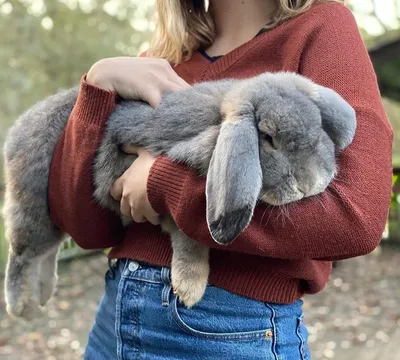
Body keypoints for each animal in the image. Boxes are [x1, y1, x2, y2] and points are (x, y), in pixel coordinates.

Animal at [1, 71, 354, 320]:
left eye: (318, 126)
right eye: (267, 137)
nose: (311, 183)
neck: (216, 127)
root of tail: (14, 134)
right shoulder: (172, 205)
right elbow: (190, 243)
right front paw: (190, 290)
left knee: (48, 252)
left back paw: (44, 293)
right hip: (35, 211)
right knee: (22, 255)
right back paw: (21, 307)